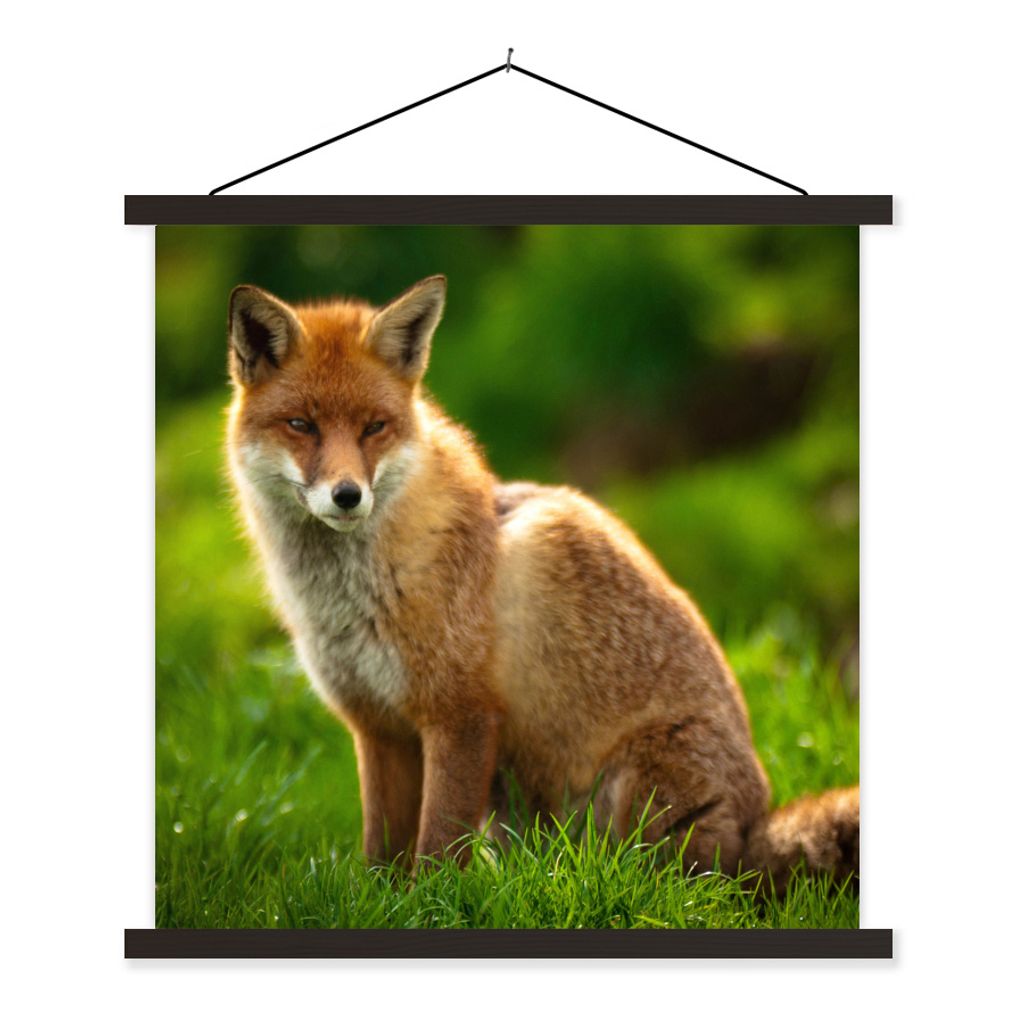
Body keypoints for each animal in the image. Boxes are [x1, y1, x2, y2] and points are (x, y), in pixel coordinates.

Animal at [225, 274, 859, 889]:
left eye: (373, 428)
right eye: (301, 425)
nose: (348, 495)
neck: (350, 599)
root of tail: (754, 831)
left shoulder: (461, 715)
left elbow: (437, 849)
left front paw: (427, 903)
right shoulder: (378, 727)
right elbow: (380, 852)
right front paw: (379, 901)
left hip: (632, 797)